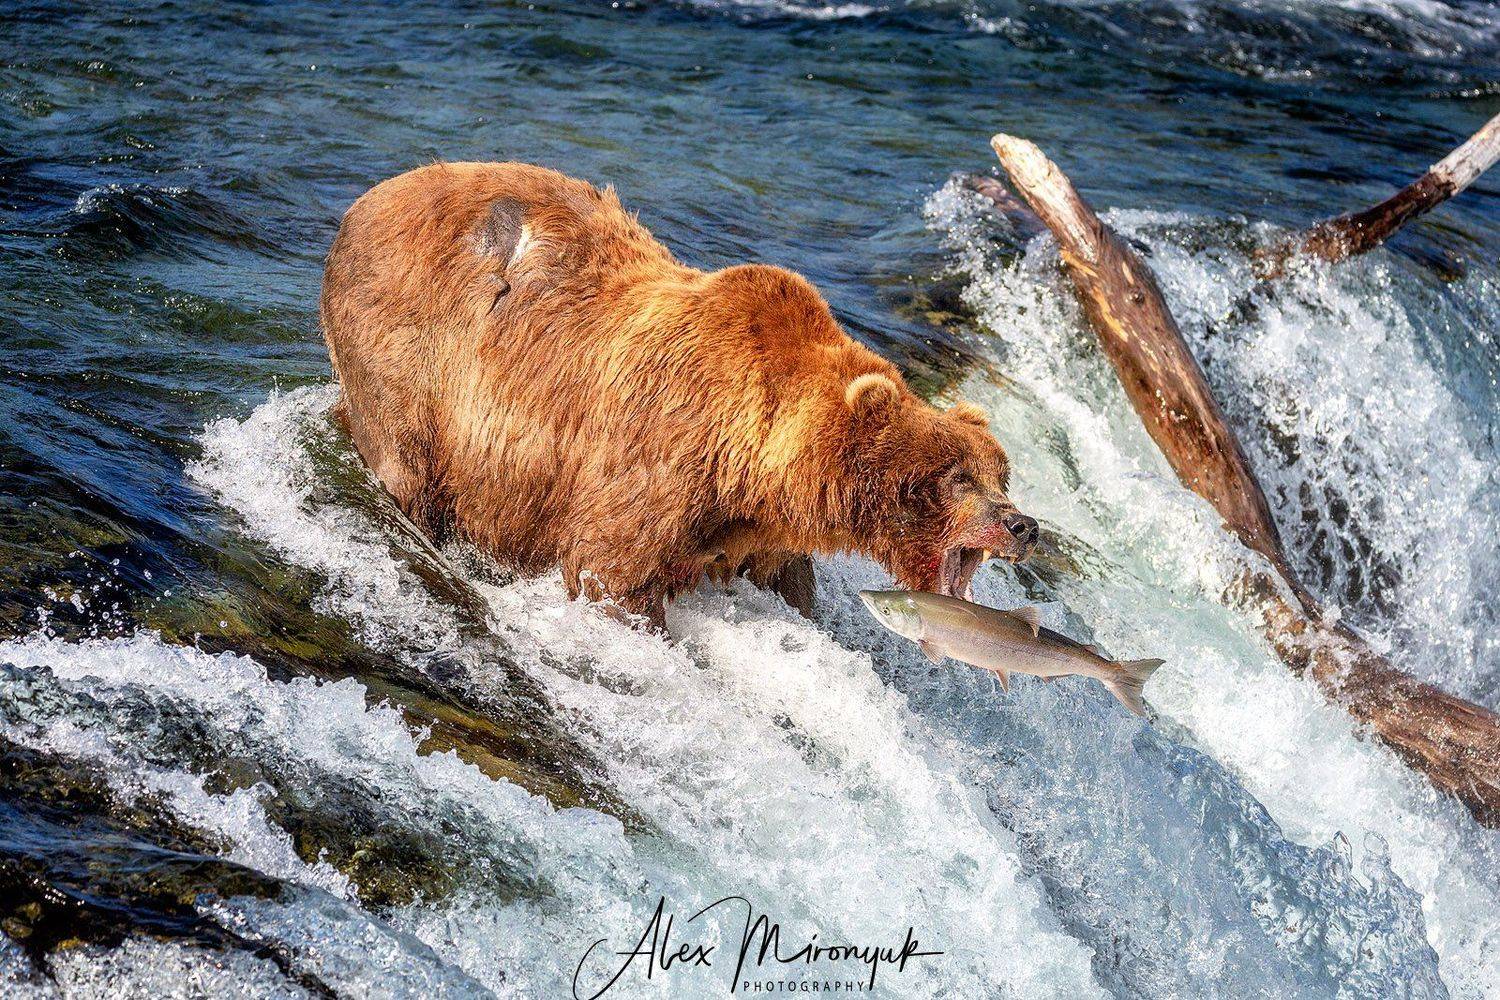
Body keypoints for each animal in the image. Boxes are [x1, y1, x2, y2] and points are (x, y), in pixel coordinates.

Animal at [320, 161, 1037, 628]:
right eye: (956, 475)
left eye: (1000, 473)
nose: (1021, 524)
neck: (753, 465)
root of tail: (368, 200)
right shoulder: (656, 453)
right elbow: (611, 568)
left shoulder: (752, 529)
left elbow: (785, 581)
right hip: (411, 354)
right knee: (408, 463)